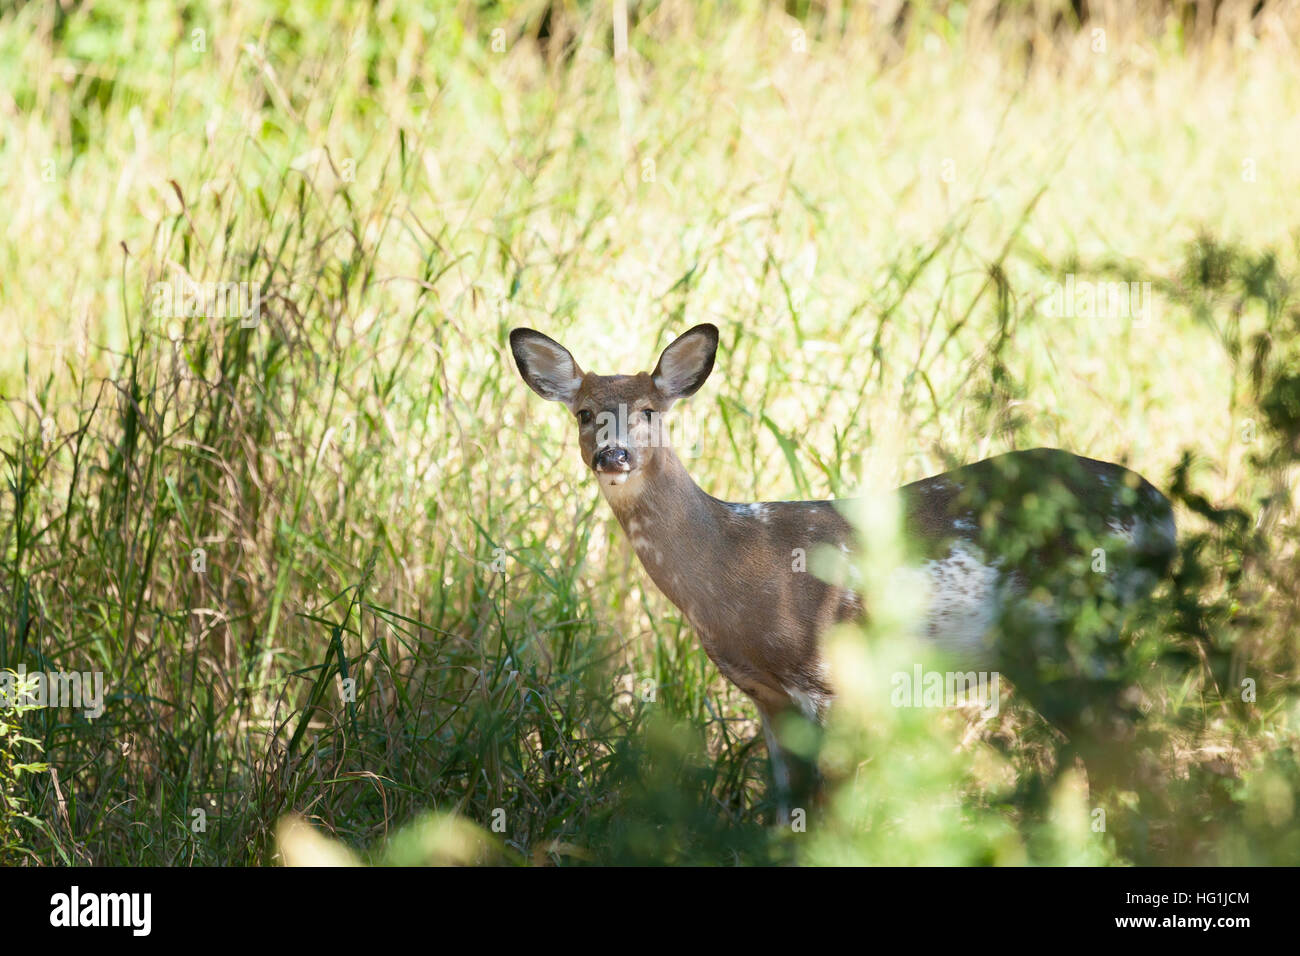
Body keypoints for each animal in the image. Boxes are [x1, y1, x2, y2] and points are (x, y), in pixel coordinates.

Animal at [506, 323, 1180, 816]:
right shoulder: (765, 694)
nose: (613, 455)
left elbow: (830, 806)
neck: (731, 563)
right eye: (584, 413)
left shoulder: (827, 677)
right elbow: (786, 807)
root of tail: (1163, 514)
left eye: (648, 410)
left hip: (1078, 629)